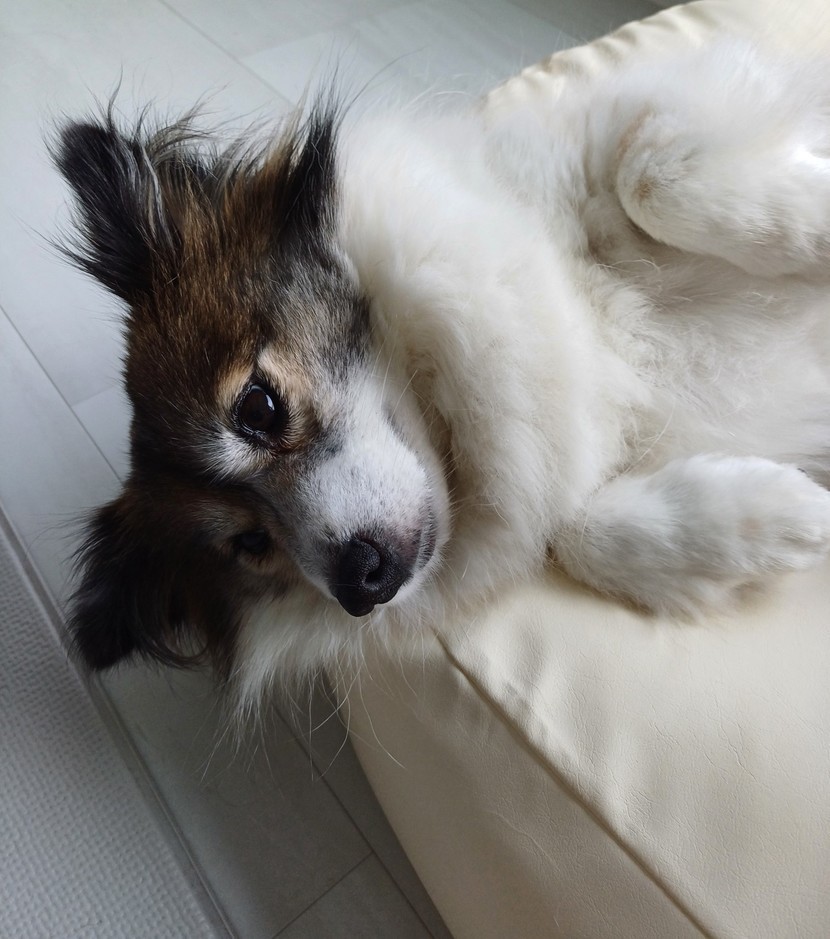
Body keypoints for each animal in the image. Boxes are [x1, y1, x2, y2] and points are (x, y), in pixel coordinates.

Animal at [56, 40, 830, 709]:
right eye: (250, 544)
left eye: (258, 408)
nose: (359, 583)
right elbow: (573, 532)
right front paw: (779, 515)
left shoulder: (638, 119)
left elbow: (656, 177)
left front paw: (815, 230)